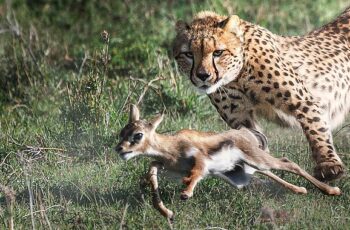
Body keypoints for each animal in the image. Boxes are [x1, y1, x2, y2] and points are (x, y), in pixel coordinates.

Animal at [173, 7, 350, 181]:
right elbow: (250, 142)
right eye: (189, 54)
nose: (203, 75)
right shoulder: (240, 117)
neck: (238, 76)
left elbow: (316, 129)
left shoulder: (304, 102)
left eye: (218, 52)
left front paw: (328, 165)